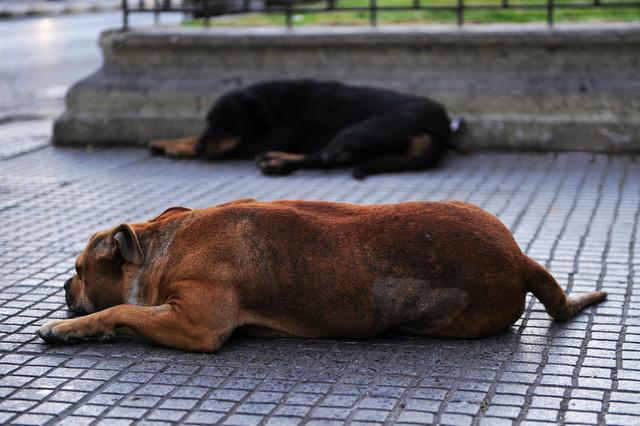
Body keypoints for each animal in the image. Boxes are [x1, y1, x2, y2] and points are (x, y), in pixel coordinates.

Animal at [37, 200, 608, 352]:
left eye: (78, 270)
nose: (64, 286)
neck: (166, 246)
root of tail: (520, 257)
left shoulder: (193, 325)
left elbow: (122, 309)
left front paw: (71, 328)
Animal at [150, 78, 460, 178]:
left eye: (228, 122)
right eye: (209, 120)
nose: (201, 144)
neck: (271, 105)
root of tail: (441, 128)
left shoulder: (259, 141)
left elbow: (223, 148)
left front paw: (183, 148)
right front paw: (168, 141)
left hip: (359, 130)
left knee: (323, 158)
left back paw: (278, 161)